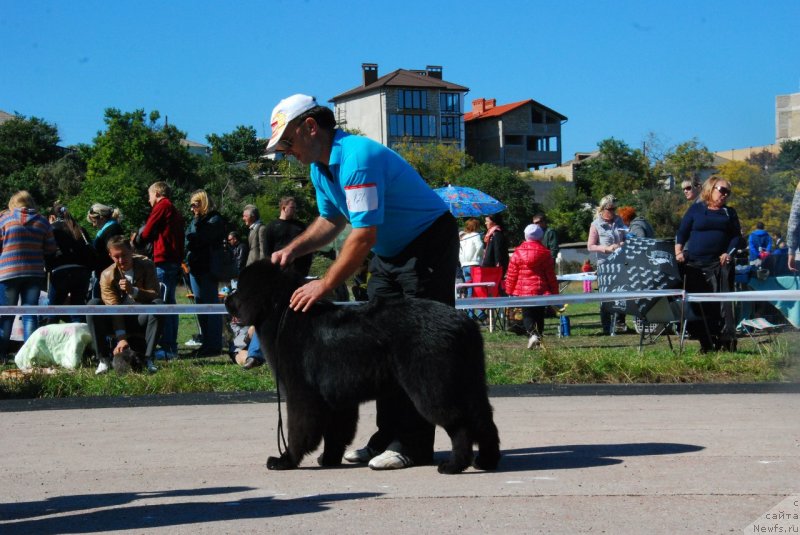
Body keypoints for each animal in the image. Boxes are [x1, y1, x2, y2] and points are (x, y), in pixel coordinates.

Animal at [227, 262, 500, 476]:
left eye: (238, 288)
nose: (227, 300)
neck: (282, 311)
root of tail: (464, 323)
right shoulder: (336, 398)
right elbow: (336, 432)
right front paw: (329, 459)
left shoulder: (302, 394)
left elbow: (299, 430)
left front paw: (286, 460)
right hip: (469, 381)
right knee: (484, 418)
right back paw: (487, 460)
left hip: (433, 386)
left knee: (460, 424)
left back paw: (454, 465)